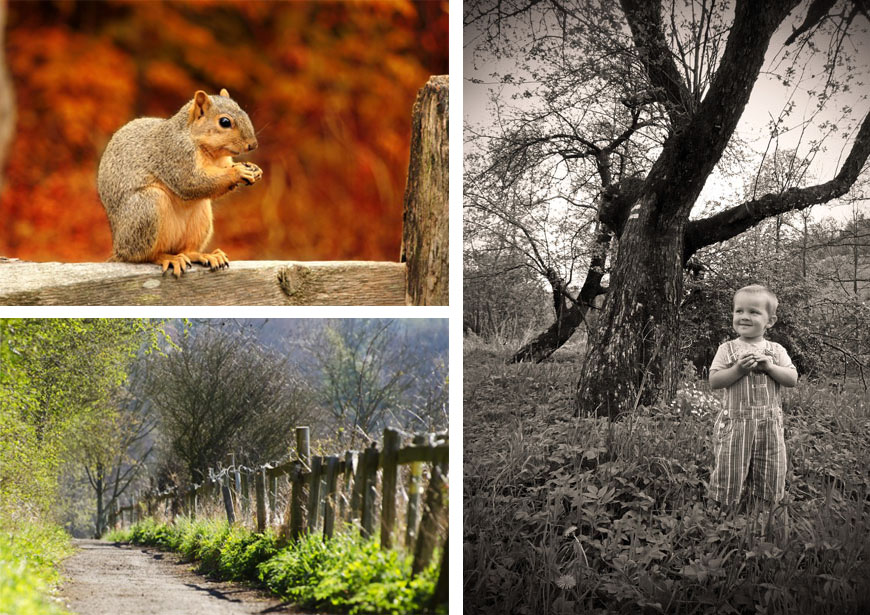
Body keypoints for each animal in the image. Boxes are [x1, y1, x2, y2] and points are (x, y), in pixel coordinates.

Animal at [98, 88, 262, 277]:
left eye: (244, 112)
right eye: (225, 122)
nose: (253, 145)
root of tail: (118, 250)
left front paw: (254, 169)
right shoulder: (176, 155)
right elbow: (190, 182)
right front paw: (238, 172)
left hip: (201, 217)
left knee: (186, 250)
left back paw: (204, 255)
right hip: (146, 208)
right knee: (143, 256)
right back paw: (167, 258)